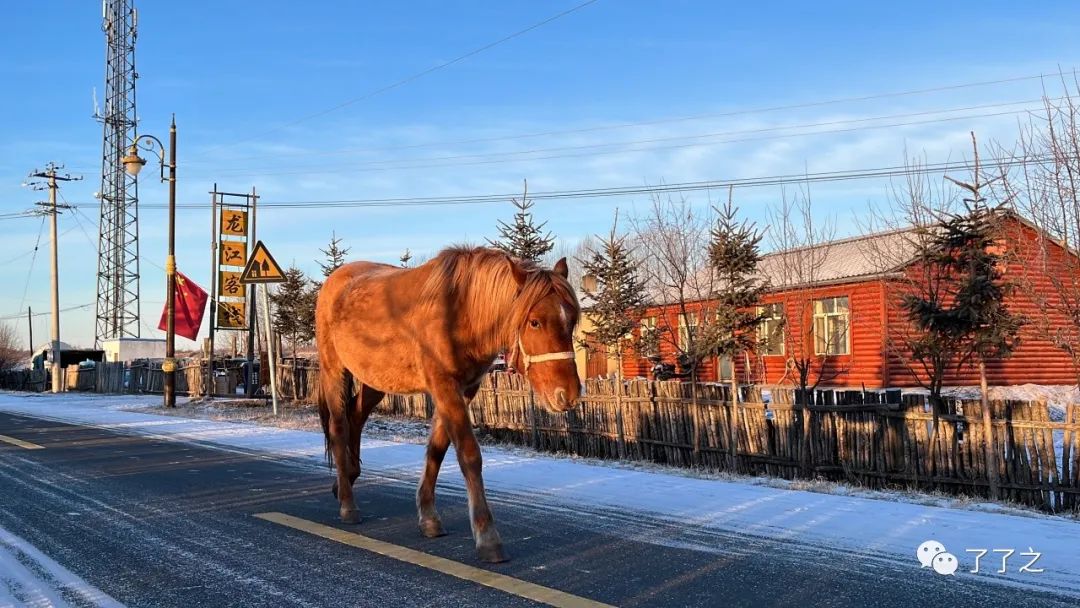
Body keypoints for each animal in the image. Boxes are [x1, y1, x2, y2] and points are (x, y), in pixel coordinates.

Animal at [315, 245, 583, 565]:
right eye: (535, 321)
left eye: (571, 320)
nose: (568, 394)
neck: (458, 312)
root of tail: (333, 283)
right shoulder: (444, 387)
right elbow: (469, 455)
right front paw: (487, 537)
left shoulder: (464, 390)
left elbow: (437, 449)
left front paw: (428, 516)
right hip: (334, 369)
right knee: (339, 426)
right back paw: (347, 503)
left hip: (375, 379)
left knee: (356, 417)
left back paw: (347, 478)